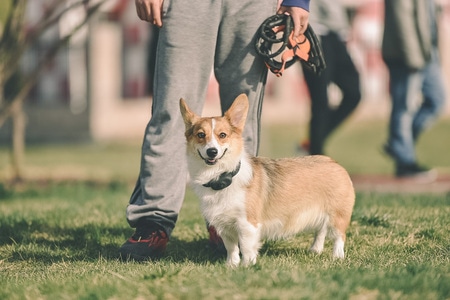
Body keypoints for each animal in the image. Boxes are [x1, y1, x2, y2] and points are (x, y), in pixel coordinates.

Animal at [179, 94, 356, 268]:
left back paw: (337, 256)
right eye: (201, 135)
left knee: (339, 236)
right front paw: (231, 266)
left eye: (222, 135)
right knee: (320, 231)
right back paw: (315, 250)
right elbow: (232, 248)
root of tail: (334, 162)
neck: (221, 177)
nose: (212, 152)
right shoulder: (225, 227)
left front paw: (247, 266)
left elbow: (246, 247)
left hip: (338, 215)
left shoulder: (247, 224)